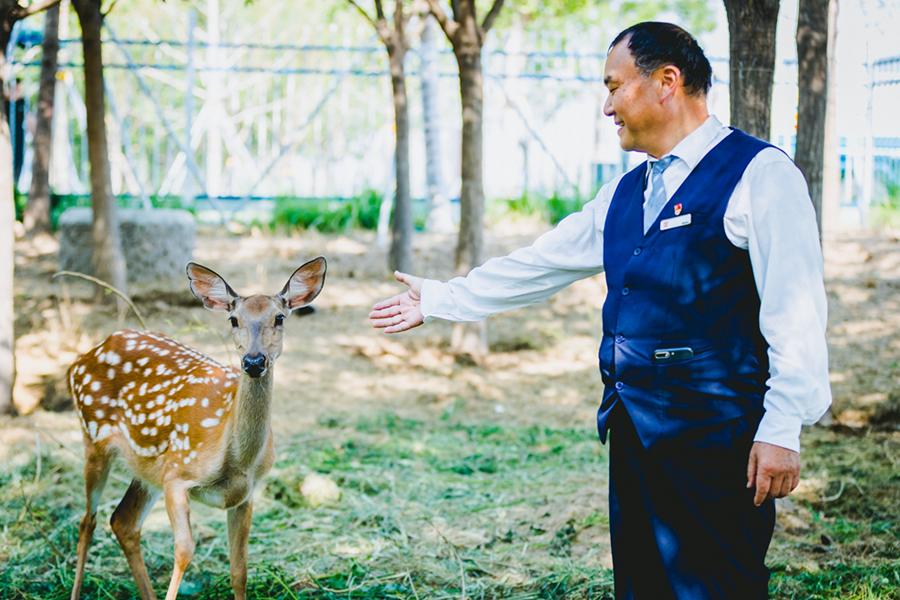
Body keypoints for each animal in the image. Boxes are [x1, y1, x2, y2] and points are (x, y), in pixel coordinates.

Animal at [68, 258, 326, 600]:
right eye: (233, 319)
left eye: (280, 317)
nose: (254, 361)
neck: (235, 461)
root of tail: (79, 361)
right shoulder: (177, 475)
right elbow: (184, 551)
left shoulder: (246, 494)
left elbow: (239, 570)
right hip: (94, 437)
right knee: (88, 521)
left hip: (148, 468)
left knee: (123, 521)